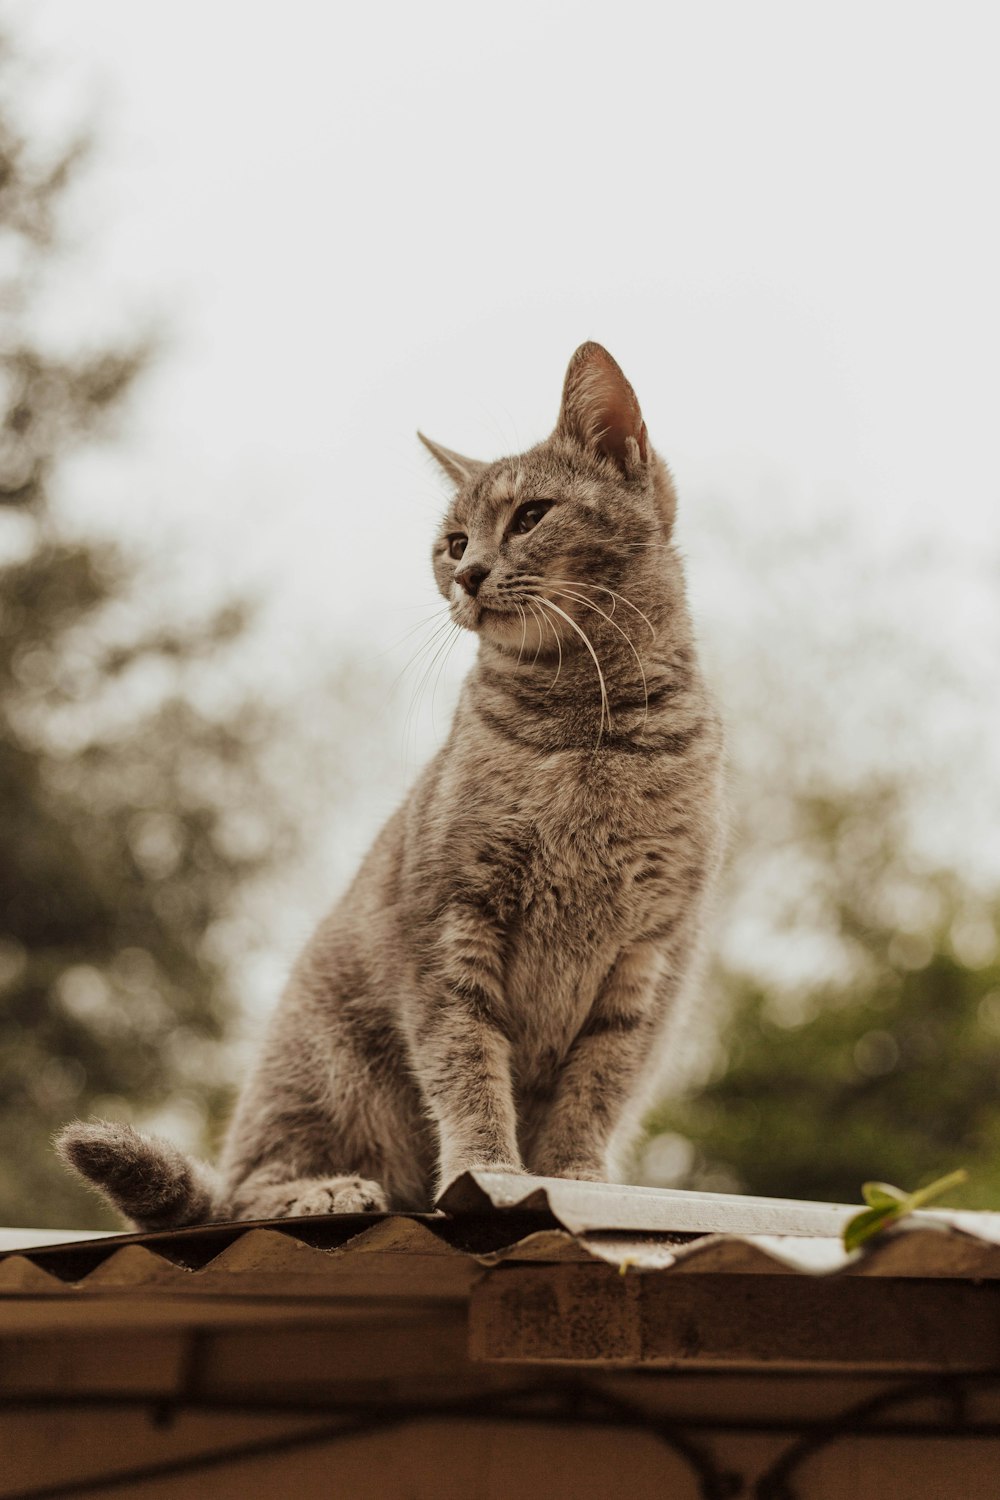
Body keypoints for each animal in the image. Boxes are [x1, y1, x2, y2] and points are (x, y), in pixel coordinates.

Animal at [54, 343, 722, 1230]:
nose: (468, 573)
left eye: (530, 516)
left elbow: (596, 1086)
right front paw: (487, 1167)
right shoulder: (450, 930)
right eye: (453, 540)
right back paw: (326, 1189)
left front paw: (574, 1175)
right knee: (246, 1188)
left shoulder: (648, 954)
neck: (587, 731)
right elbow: (466, 1069)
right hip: (320, 1071)